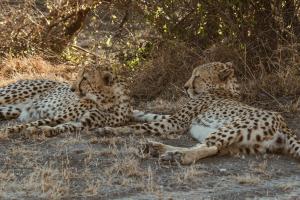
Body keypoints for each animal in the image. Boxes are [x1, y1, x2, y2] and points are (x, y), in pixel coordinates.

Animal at [0, 65, 131, 138]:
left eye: (84, 78)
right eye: (78, 75)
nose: (71, 89)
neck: (106, 102)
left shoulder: (84, 123)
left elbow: (64, 127)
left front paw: (42, 131)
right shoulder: (58, 116)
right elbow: (28, 124)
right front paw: (6, 130)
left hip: (11, 110)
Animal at [98, 62, 300, 164]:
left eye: (197, 76)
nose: (185, 87)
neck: (225, 90)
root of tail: (284, 124)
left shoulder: (176, 122)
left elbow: (143, 126)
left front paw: (110, 129)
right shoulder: (177, 119)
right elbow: (149, 116)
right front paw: (132, 112)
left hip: (231, 127)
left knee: (209, 146)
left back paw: (175, 155)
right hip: (238, 143)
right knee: (212, 148)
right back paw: (159, 149)